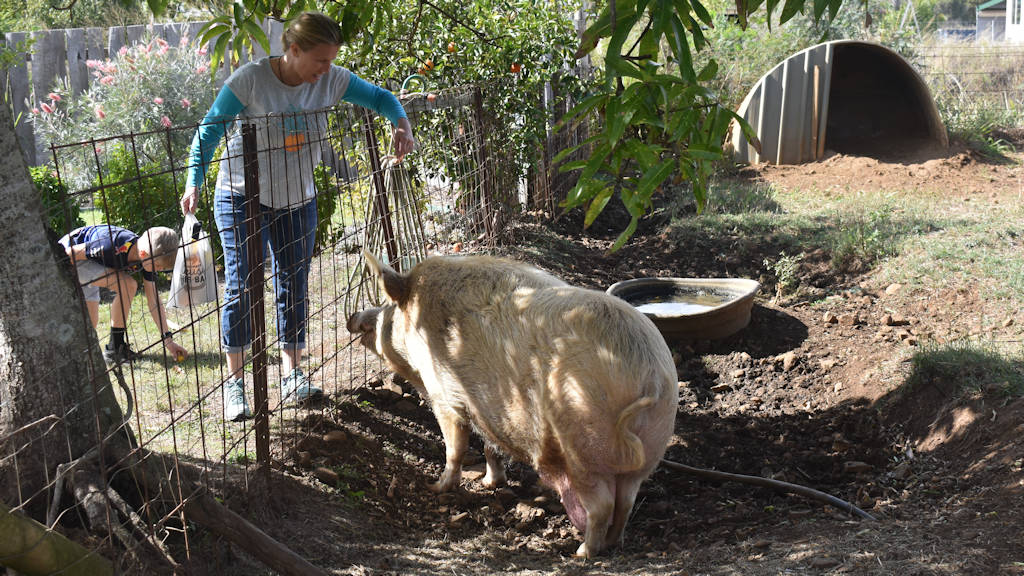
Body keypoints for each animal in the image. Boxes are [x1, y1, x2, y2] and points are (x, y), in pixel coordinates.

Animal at [346, 249, 679, 553]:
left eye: (387, 307)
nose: (353, 318)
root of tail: (650, 376)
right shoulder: (488, 409)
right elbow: (491, 446)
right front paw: (490, 483)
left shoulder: (445, 395)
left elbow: (455, 447)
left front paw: (436, 486)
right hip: (648, 448)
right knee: (626, 502)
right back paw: (613, 543)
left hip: (583, 440)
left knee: (602, 506)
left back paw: (583, 552)